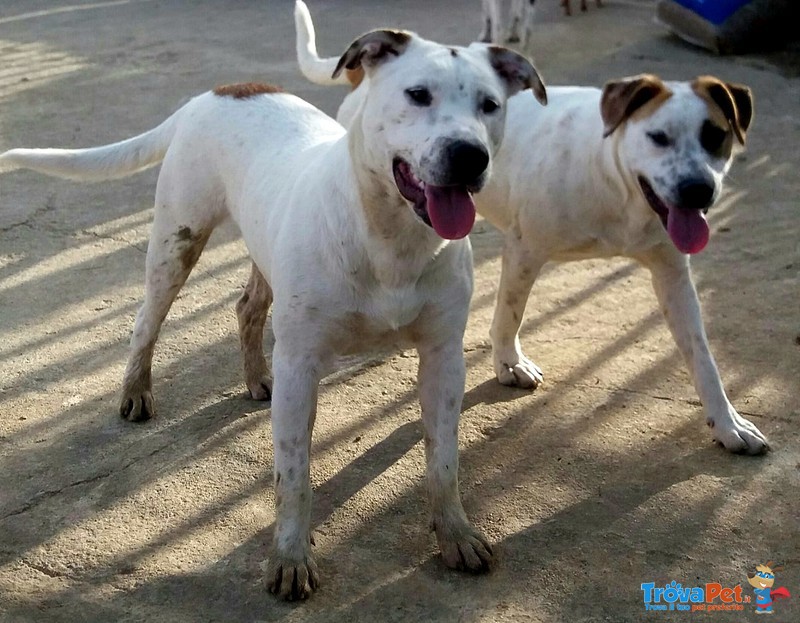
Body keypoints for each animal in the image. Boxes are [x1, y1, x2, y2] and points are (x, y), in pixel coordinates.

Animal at [0, 23, 552, 600]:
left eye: (490, 105)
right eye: (418, 94)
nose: (470, 156)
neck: (389, 239)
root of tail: (220, 90)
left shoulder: (444, 360)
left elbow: (443, 461)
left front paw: (456, 535)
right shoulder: (300, 365)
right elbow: (294, 475)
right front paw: (289, 558)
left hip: (262, 251)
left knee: (247, 308)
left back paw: (254, 376)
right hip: (176, 242)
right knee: (145, 321)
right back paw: (136, 391)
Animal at [294, 1, 768, 458]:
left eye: (715, 136)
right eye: (658, 137)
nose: (699, 189)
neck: (611, 176)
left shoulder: (672, 272)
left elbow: (702, 355)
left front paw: (729, 424)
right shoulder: (525, 250)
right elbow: (511, 311)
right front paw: (509, 364)